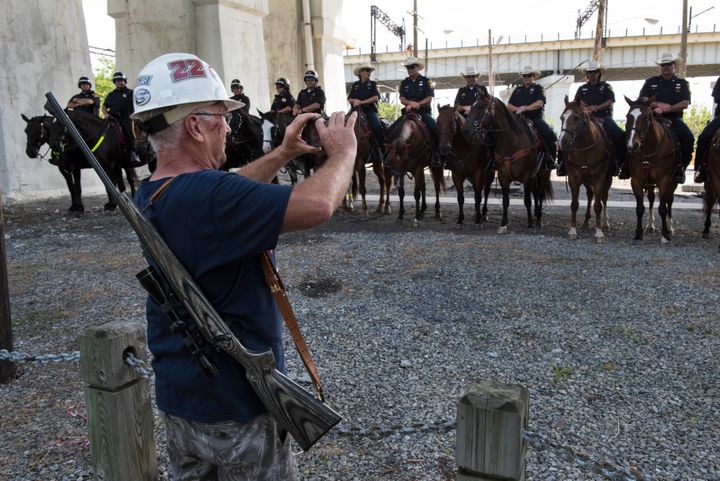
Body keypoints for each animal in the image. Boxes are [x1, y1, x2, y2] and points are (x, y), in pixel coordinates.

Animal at [462, 93, 552, 232]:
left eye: (480, 107)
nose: (466, 130)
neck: (512, 142)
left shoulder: (527, 176)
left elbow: (527, 200)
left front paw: (530, 223)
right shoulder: (503, 176)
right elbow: (505, 201)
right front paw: (503, 224)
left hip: (543, 175)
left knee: (540, 195)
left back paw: (538, 218)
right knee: (536, 194)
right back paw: (536, 215)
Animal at [556, 95, 612, 242]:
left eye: (576, 117)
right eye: (562, 117)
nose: (563, 142)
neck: (586, 148)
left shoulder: (599, 178)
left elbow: (598, 206)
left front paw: (599, 232)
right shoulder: (574, 178)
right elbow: (574, 204)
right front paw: (572, 231)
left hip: (607, 180)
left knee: (604, 198)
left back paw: (605, 223)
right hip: (587, 181)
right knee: (590, 195)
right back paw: (586, 221)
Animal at [624, 96, 680, 244]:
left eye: (645, 117)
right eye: (628, 116)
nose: (632, 145)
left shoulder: (665, 180)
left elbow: (663, 208)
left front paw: (665, 234)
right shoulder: (636, 181)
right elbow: (640, 208)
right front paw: (638, 233)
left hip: (672, 183)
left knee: (669, 201)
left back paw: (670, 228)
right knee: (651, 199)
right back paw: (650, 225)